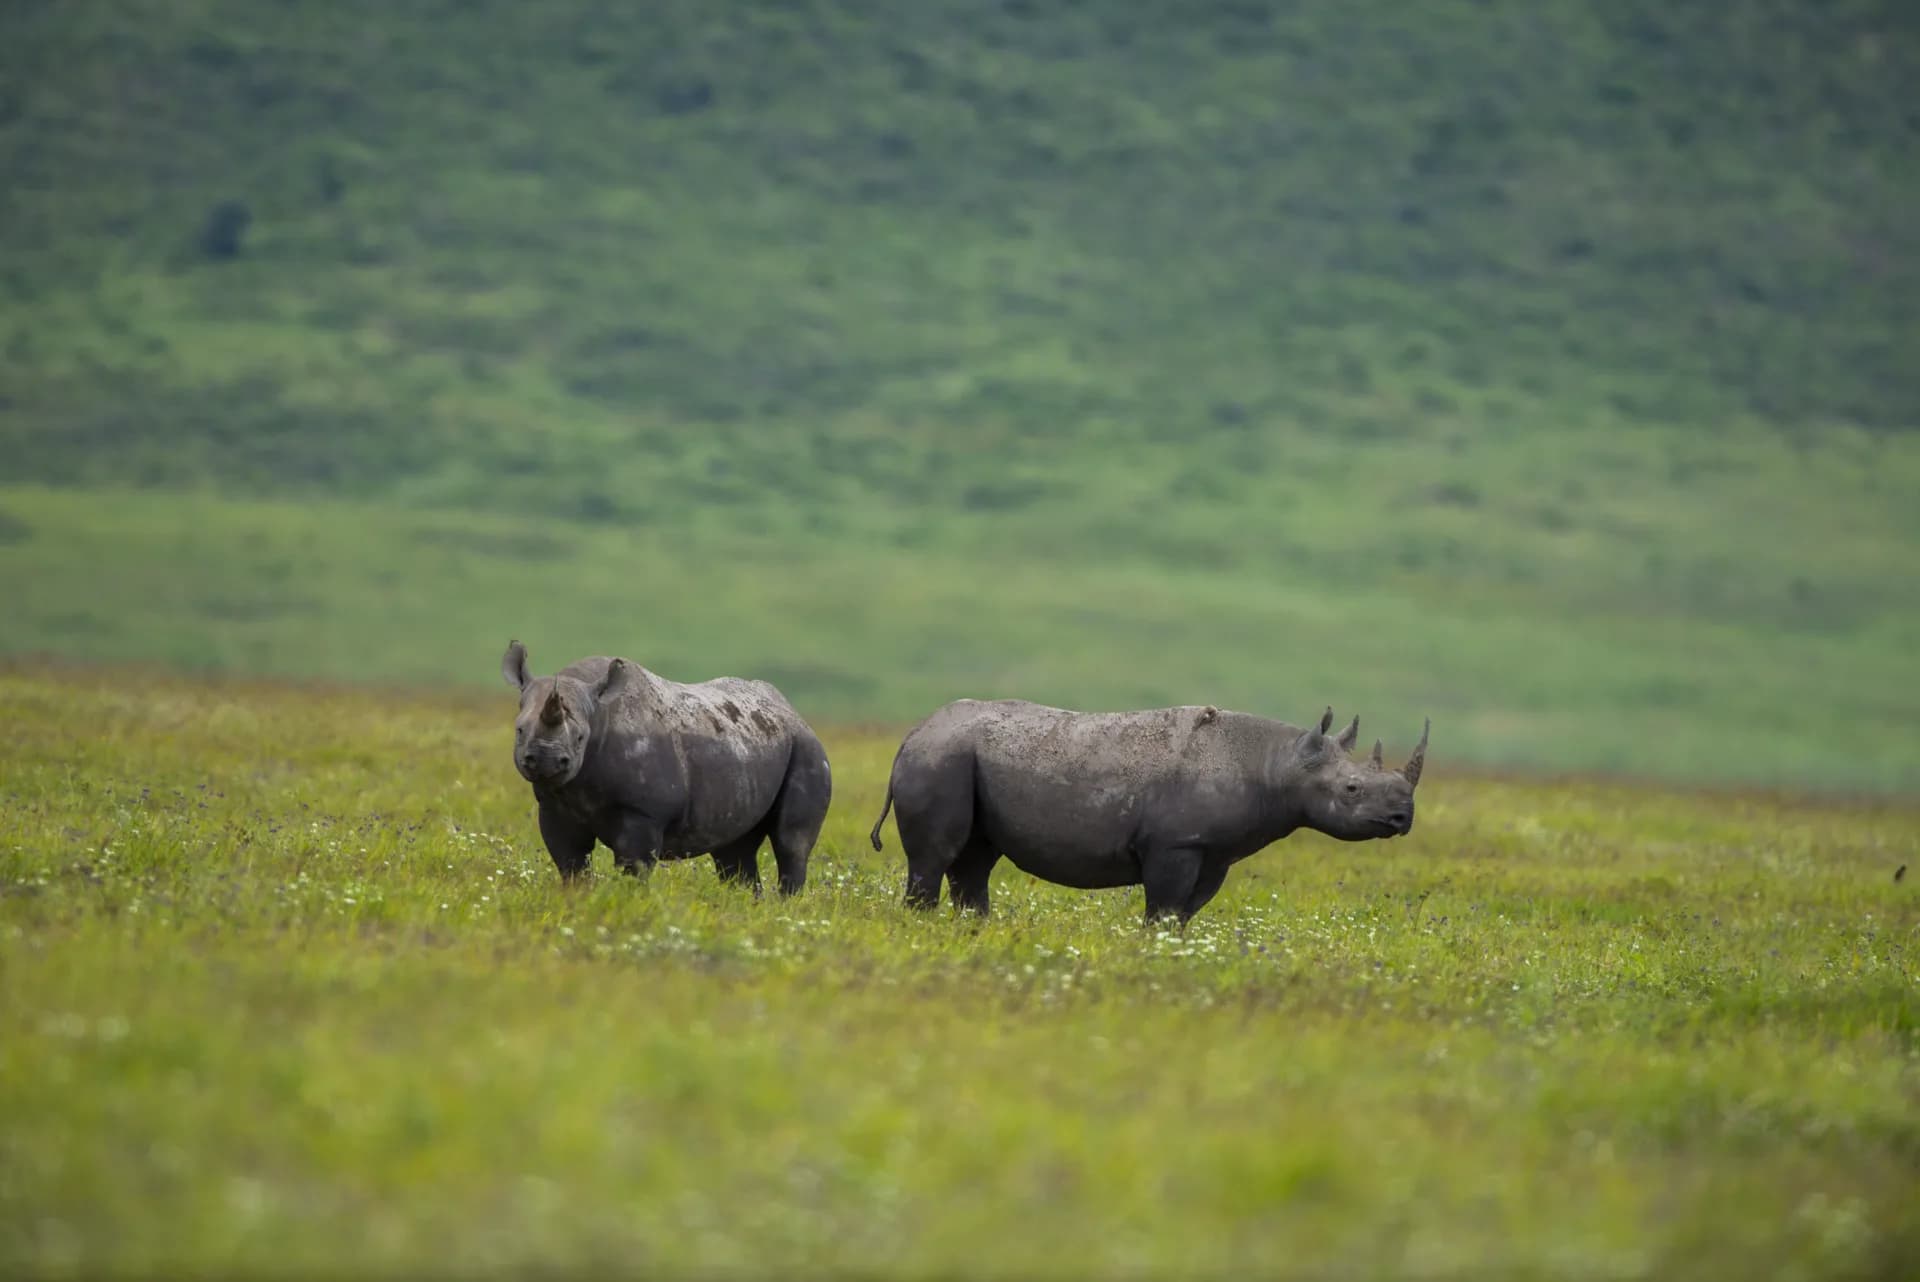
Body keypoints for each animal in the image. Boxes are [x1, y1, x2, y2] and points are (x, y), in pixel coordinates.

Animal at [501, 641, 831, 892]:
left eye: (581, 738)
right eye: (519, 730)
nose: (546, 760)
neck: (598, 714)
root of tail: (792, 711)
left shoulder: (643, 814)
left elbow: (633, 867)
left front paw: (628, 901)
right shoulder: (554, 806)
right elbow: (570, 864)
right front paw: (577, 898)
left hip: (808, 750)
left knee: (791, 844)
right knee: (734, 853)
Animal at [869, 700, 1427, 923]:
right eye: (1352, 789)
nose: (1403, 819)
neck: (1279, 764)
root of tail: (912, 733)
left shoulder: (1213, 851)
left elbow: (1183, 912)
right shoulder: (1175, 843)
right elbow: (1162, 906)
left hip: (960, 756)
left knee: (975, 860)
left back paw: (975, 928)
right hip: (939, 758)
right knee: (935, 857)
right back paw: (923, 925)